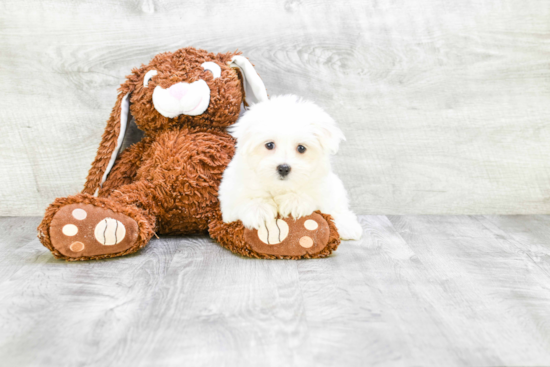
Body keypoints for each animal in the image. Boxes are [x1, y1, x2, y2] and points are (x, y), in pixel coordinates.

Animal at [220, 95, 366, 242]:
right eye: (269, 145)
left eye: (301, 148)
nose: (283, 168)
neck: (280, 187)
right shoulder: (231, 192)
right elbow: (245, 198)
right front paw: (258, 209)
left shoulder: (322, 188)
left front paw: (295, 201)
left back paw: (347, 226)